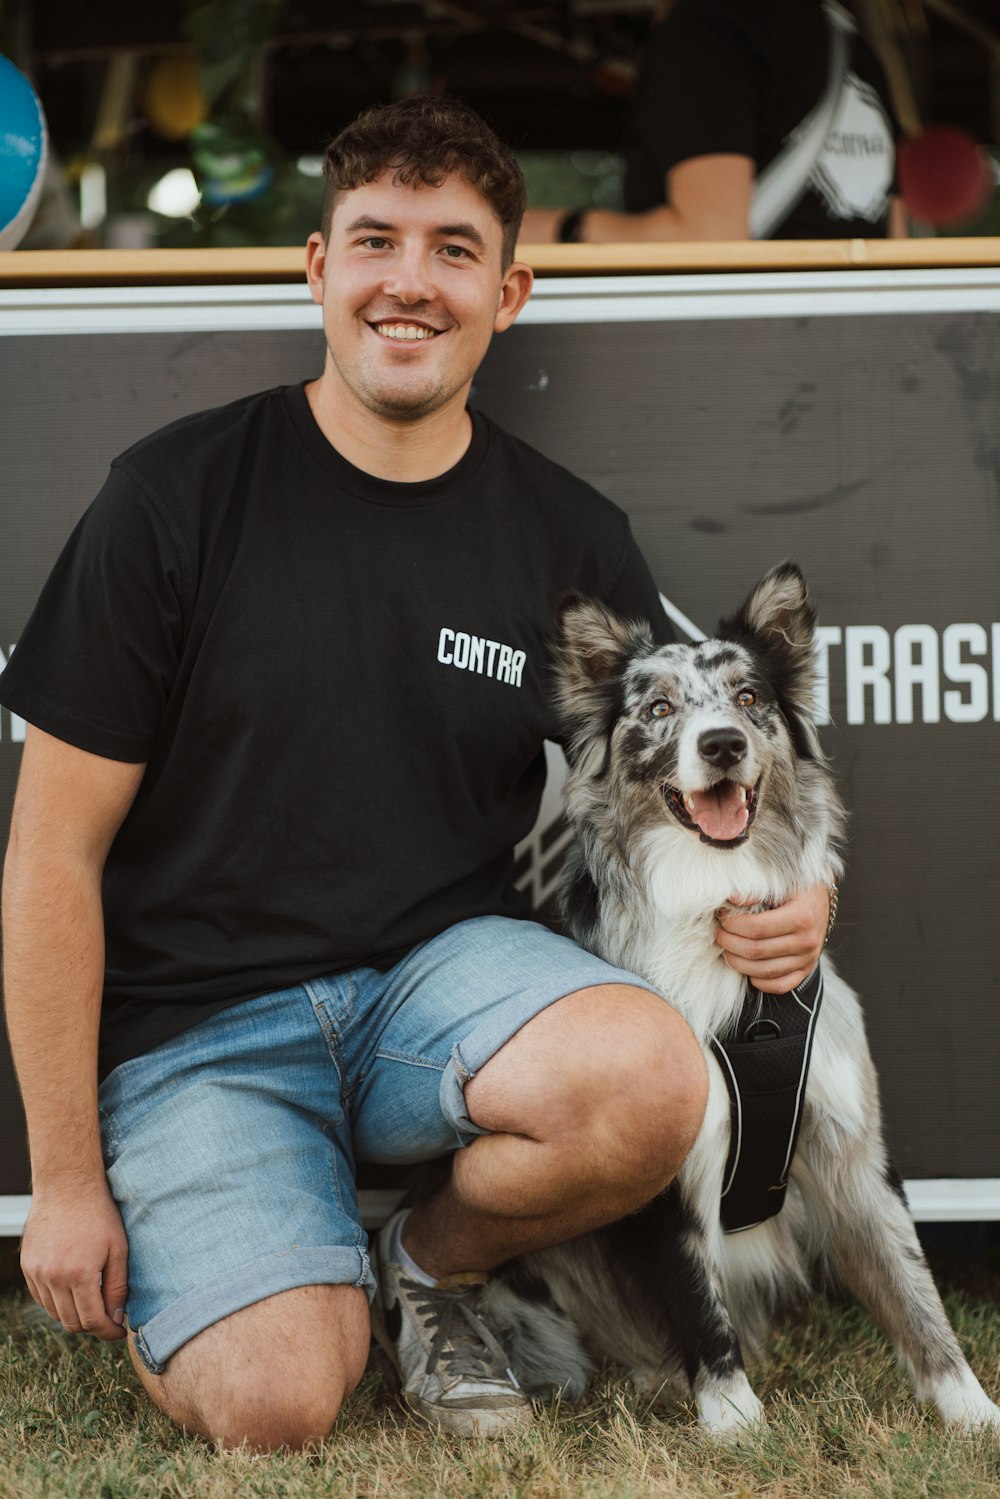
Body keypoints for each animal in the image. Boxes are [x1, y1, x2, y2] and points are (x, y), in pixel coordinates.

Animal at [479, 563, 995, 1439]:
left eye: (750, 697)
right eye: (658, 709)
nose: (721, 742)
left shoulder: (851, 1142)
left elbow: (913, 1287)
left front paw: (972, 1409)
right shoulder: (671, 1158)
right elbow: (697, 1298)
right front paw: (734, 1420)